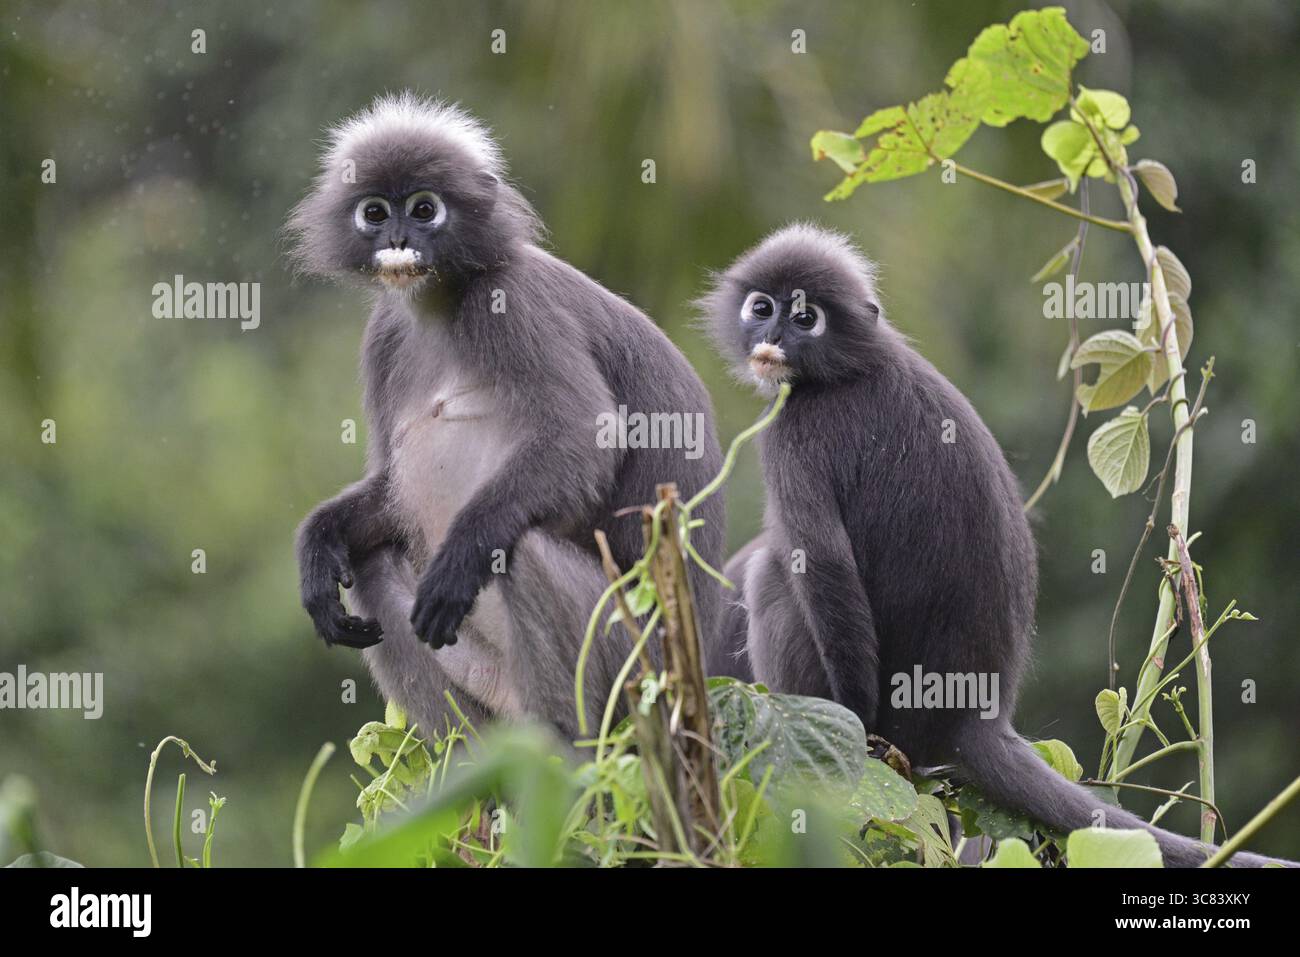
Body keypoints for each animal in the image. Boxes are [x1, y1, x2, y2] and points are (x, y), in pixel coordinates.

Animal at [285, 92, 747, 741]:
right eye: (374, 212)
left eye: (424, 209)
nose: (398, 234)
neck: (441, 303)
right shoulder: (383, 335)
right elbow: (386, 486)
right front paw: (318, 542)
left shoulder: (512, 299)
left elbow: (582, 438)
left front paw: (461, 556)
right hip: (491, 683)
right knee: (371, 556)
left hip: (634, 661)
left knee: (520, 551)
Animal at [699, 223, 1287, 867]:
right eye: (763, 308)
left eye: (806, 318)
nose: (774, 337)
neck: (857, 364)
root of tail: (978, 718)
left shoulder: (793, 435)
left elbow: (825, 570)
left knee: (772, 575)